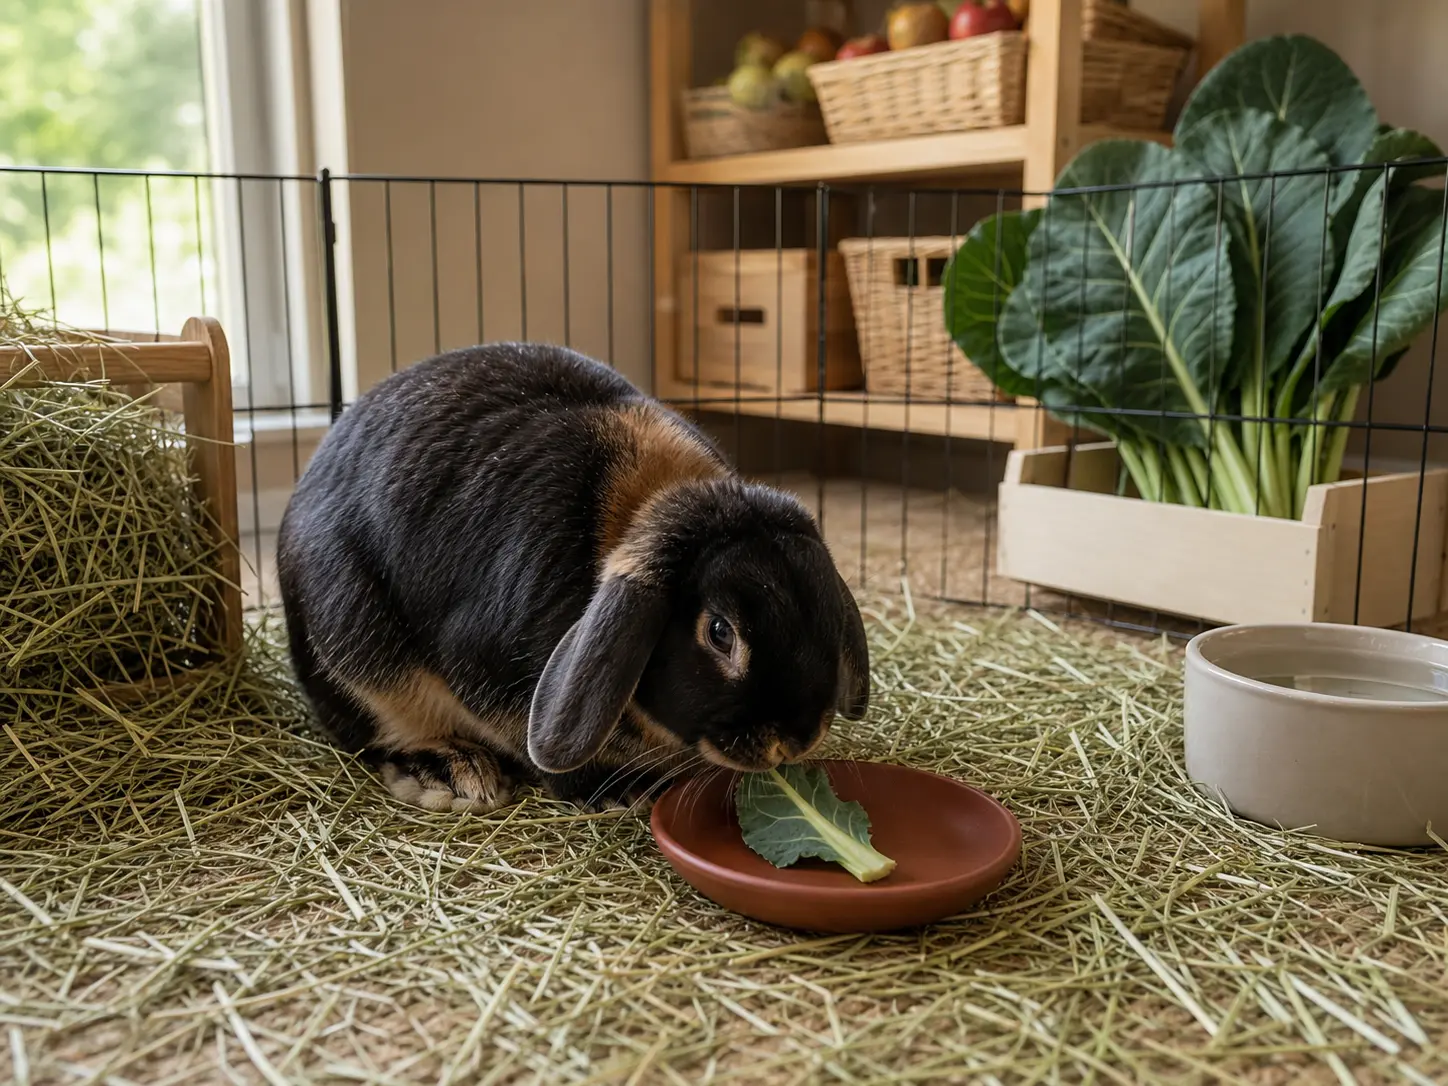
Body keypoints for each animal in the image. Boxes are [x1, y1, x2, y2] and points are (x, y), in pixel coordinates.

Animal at [276, 342, 870, 814]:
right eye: (719, 632)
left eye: (825, 612)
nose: (795, 740)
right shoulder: (491, 669)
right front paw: (626, 791)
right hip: (359, 650)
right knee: (379, 733)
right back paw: (455, 774)